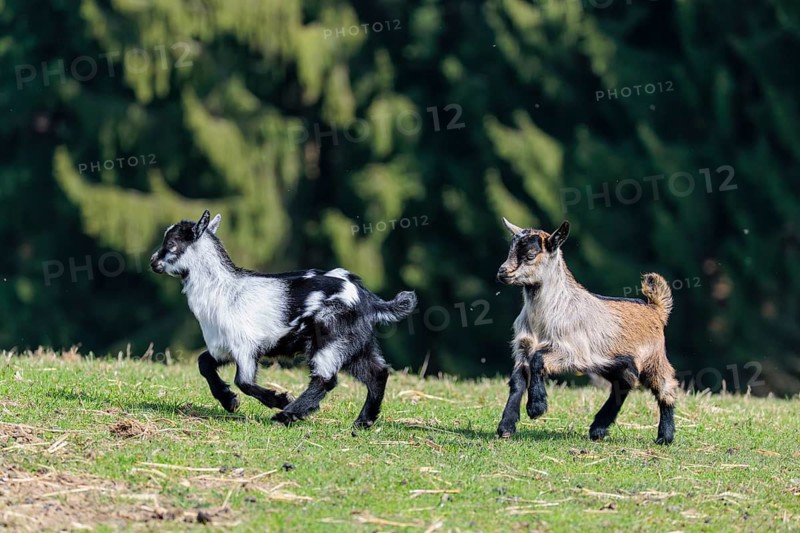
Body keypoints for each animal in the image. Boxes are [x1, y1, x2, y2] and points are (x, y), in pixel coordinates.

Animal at [150, 210, 417, 428]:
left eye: (172, 244)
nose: (153, 262)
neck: (222, 289)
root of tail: (367, 298)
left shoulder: (245, 347)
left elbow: (243, 381)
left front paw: (278, 399)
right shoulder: (223, 348)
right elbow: (204, 363)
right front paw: (229, 401)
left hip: (331, 339)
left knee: (325, 380)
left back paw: (286, 415)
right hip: (357, 345)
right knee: (377, 374)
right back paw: (363, 422)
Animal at [495, 218, 677, 444]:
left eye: (530, 255)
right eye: (510, 250)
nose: (502, 272)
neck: (549, 311)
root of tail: (655, 309)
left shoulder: (573, 351)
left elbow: (538, 359)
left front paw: (536, 407)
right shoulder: (523, 347)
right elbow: (518, 380)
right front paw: (506, 426)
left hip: (653, 358)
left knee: (666, 386)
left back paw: (665, 436)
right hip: (613, 361)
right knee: (625, 382)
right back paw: (598, 428)